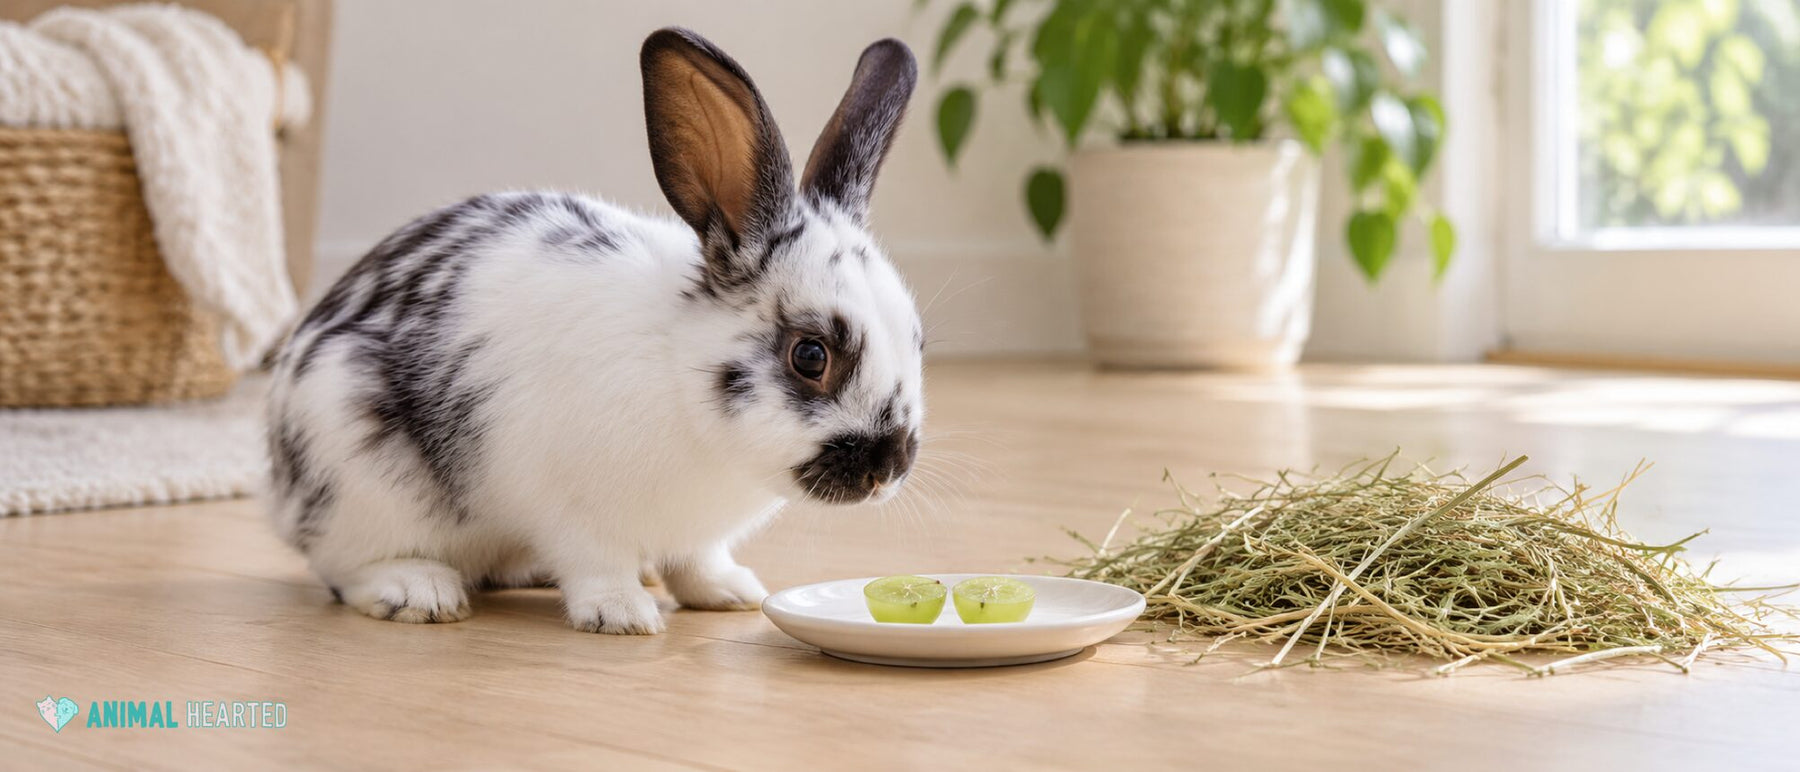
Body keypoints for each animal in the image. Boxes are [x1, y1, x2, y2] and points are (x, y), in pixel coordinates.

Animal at [266, 28, 923, 634]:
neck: (678, 376)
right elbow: (596, 563)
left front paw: (729, 592)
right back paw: (418, 591)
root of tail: (280, 488)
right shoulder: (573, 512)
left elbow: (697, 563)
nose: (887, 468)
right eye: (811, 356)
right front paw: (622, 615)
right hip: (354, 469)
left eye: (917, 338)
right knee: (342, 566)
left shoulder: (695, 536)